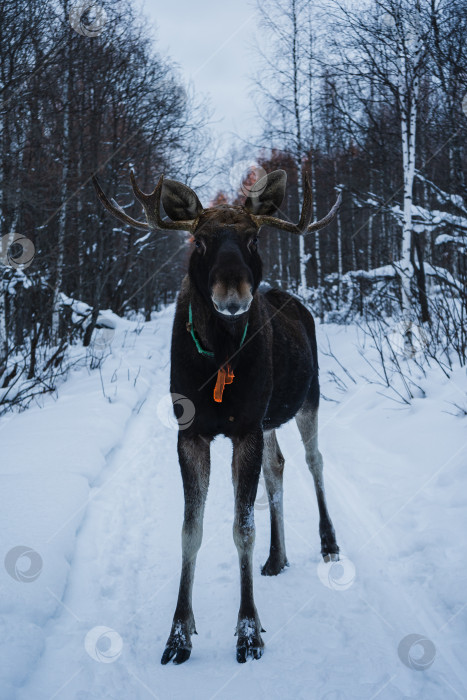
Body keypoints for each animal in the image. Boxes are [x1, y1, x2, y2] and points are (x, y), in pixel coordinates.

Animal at [94, 167, 344, 664]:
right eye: (200, 241)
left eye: (253, 237)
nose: (233, 293)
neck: (221, 359)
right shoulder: (191, 432)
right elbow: (191, 530)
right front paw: (178, 633)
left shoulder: (245, 428)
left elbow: (241, 528)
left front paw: (248, 631)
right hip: (270, 419)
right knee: (277, 467)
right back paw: (277, 557)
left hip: (309, 399)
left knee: (314, 461)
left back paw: (328, 542)